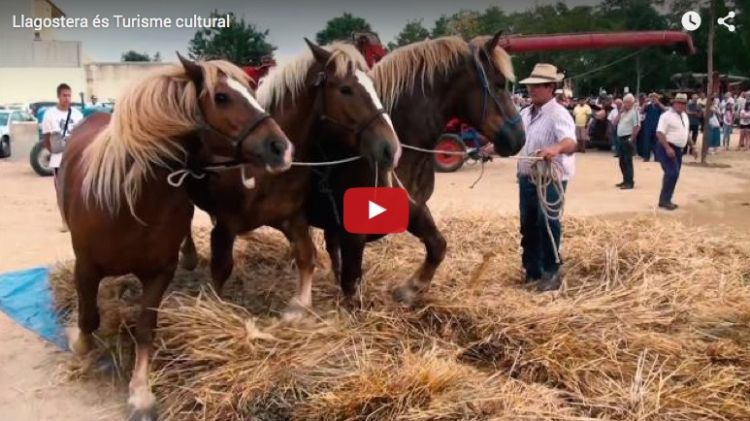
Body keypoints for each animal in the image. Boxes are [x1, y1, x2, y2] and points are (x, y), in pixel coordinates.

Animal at [58, 54, 294, 418]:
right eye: (222, 97)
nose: (281, 147)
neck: (131, 202)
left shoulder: (159, 273)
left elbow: (145, 329)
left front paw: (140, 392)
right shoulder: (85, 267)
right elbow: (88, 317)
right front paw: (79, 344)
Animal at [183, 39, 402, 318]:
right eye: (346, 89)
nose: (391, 149)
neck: (266, 172)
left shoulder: (292, 217)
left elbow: (307, 256)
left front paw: (298, 307)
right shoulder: (226, 225)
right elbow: (221, 270)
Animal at [306, 33, 528, 306]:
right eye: (499, 84)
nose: (519, 138)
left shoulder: (415, 209)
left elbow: (437, 246)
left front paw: (411, 288)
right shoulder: (353, 231)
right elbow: (351, 281)